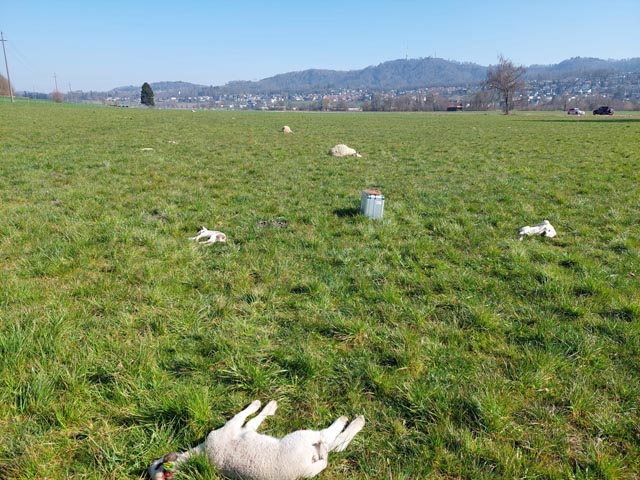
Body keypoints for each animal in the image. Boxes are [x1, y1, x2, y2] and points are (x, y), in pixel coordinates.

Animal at [149, 399, 365, 480]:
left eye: (157, 463)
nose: (156, 461)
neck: (201, 454)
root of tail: (308, 466)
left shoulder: (239, 431)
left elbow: (253, 420)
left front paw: (267, 406)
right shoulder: (231, 429)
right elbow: (246, 416)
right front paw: (262, 404)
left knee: (335, 445)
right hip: (304, 438)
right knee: (329, 438)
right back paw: (351, 421)